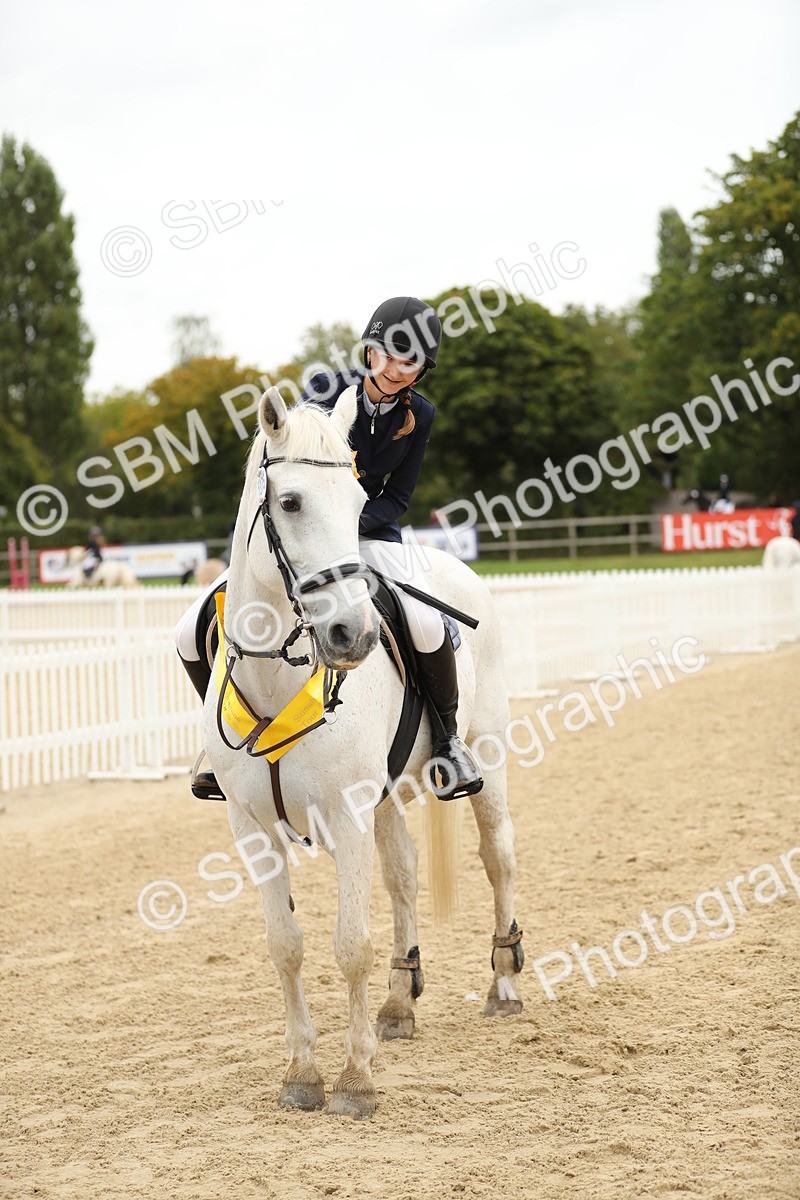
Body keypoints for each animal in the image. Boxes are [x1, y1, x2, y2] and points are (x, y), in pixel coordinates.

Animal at [203, 386, 522, 1120]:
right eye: (290, 502)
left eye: (357, 504)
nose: (352, 634)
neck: (279, 680)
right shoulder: (252, 827)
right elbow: (285, 946)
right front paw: (301, 1074)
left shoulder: (347, 816)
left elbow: (351, 945)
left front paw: (355, 1082)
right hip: (382, 799)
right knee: (403, 874)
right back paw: (400, 1003)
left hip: (486, 759)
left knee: (498, 857)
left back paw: (504, 985)